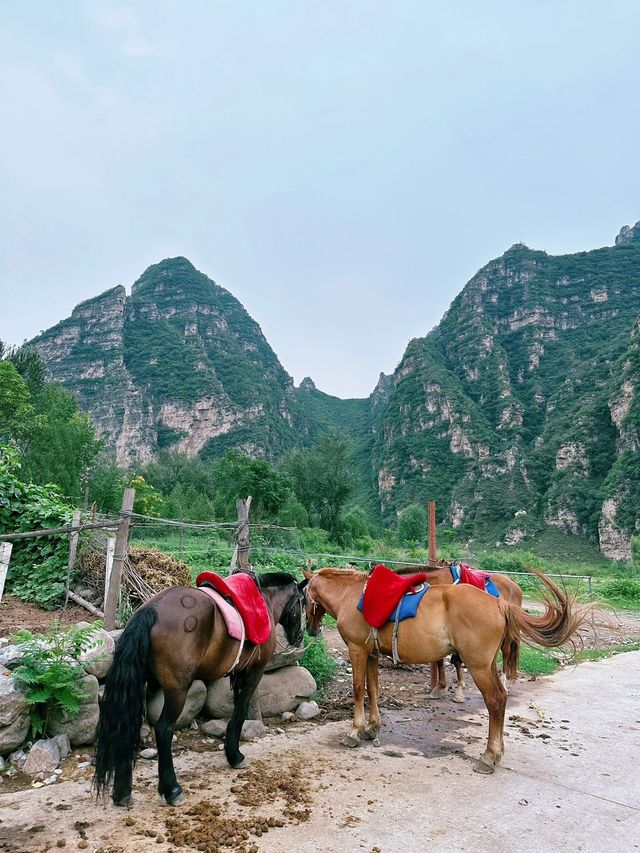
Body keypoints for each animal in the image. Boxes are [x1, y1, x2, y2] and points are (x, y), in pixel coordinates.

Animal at [92, 572, 308, 804]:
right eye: (303, 603)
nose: (299, 636)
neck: (264, 601)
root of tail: (151, 610)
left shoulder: (238, 674)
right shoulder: (253, 673)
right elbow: (240, 712)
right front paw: (235, 756)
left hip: (144, 685)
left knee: (128, 726)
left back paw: (122, 791)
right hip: (177, 691)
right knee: (164, 729)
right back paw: (172, 789)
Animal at [302, 564, 588, 772]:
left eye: (303, 598)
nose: (311, 630)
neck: (350, 596)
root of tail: (499, 603)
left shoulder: (357, 650)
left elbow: (358, 690)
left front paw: (354, 731)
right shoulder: (371, 654)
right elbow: (372, 689)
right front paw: (372, 727)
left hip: (479, 666)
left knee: (495, 700)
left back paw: (488, 756)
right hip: (488, 665)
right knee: (502, 697)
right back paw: (497, 752)